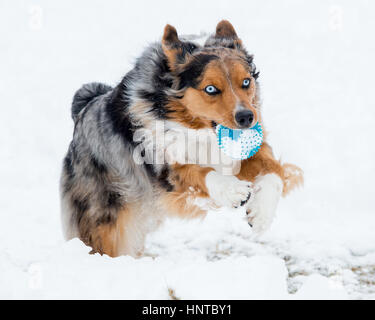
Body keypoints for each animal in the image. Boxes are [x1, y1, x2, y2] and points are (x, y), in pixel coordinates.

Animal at [60, 20, 304, 258]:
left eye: (246, 82)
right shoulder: (163, 171)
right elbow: (199, 172)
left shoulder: (253, 149)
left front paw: (261, 213)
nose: (246, 117)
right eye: (211, 88)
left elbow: (273, 169)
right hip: (107, 222)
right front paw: (232, 190)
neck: (200, 129)